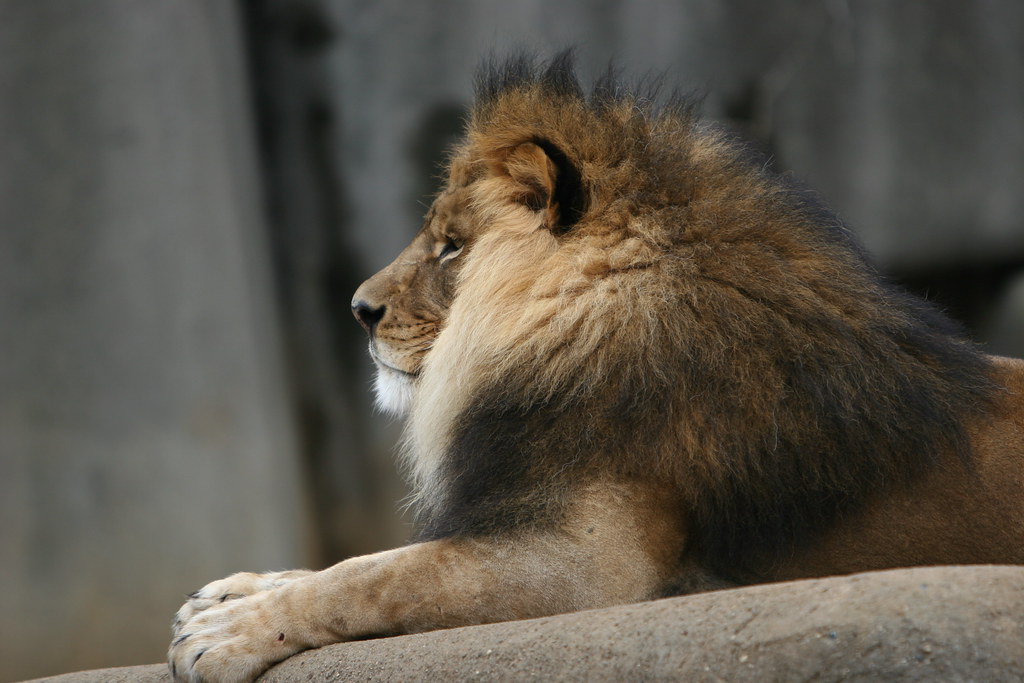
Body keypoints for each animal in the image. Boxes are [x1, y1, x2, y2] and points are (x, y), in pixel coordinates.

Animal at [168, 53, 1024, 683]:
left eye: (451, 247)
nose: (358, 309)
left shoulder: (590, 568)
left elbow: (379, 576)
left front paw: (227, 632)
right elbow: (370, 557)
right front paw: (241, 587)